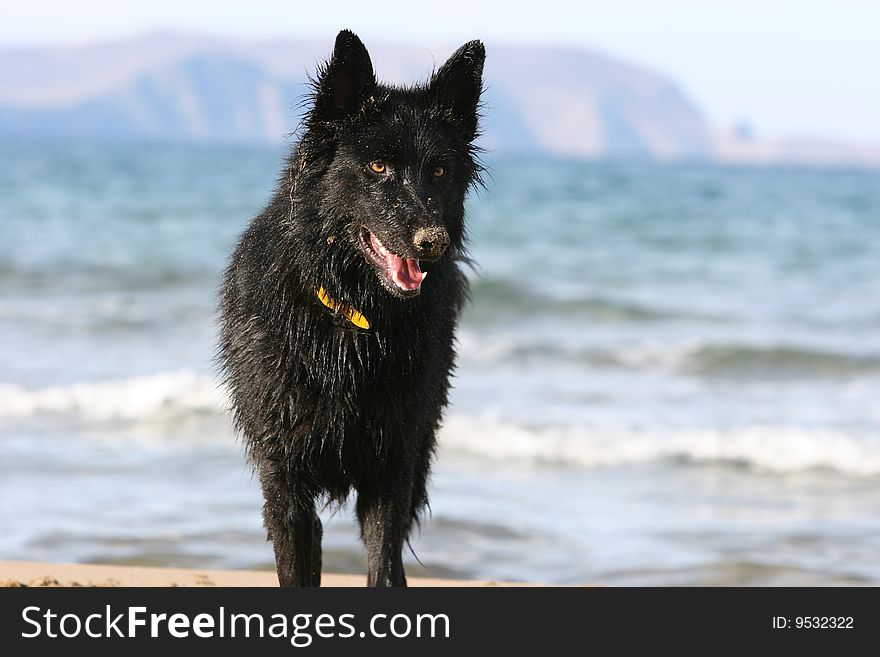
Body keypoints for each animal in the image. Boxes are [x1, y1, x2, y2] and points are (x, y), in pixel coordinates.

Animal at [217, 29, 484, 584]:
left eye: (440, 170)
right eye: (378, 166)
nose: (434, 242)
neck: (353, 319)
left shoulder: (391, 468)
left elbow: (381, 563)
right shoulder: (284, 480)